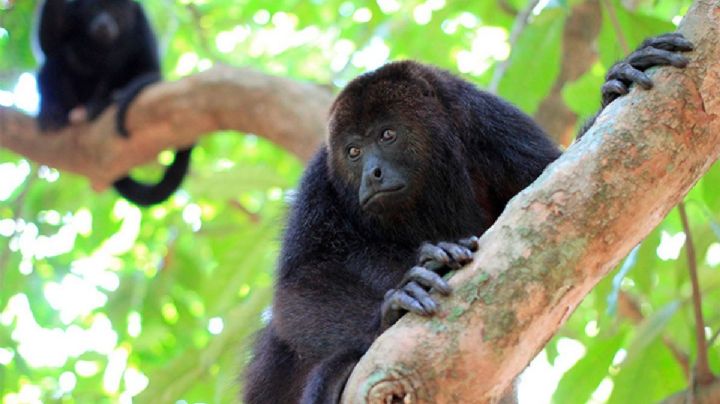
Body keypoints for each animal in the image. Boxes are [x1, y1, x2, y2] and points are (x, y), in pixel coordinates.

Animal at [35, 0, 192, 206]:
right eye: (94, 8)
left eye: (115, 9)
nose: (103, 22)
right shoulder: (73, 13)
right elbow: (49, 45)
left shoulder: (142, 25)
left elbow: (150, 70)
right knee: (56, 61)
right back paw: (51, 111)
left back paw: (101, 105)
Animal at [242, 33, 692, 404]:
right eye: (353, 151)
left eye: (387, 135)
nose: (371, 173)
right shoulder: (320, 178)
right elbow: (297, 291)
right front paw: (393, 306)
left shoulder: (488, 122)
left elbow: (568, 193)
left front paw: (615, 87)